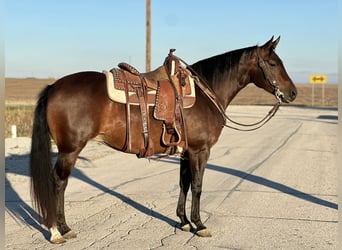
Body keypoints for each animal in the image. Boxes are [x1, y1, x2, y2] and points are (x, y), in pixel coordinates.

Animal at [29, 36, 296, 243]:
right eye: (273, 63)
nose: (292, 93)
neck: (206, 93)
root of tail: (54, 87)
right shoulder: (200, 151)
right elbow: (197, 186)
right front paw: (200, 224)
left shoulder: (186, 152)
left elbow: (184, 184)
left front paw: (184, 221)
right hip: (70, 150)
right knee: (58, 183)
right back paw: (58, 231)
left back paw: (62, 228)